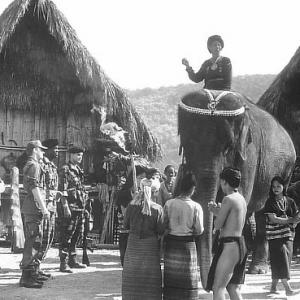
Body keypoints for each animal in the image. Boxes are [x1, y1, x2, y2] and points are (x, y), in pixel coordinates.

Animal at [177, 88, 296, 288]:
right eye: (188, 143)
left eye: (228, 147)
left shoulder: (249, 154)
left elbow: (239, 196)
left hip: (285, 171)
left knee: (263, 212)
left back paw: (258, 269)